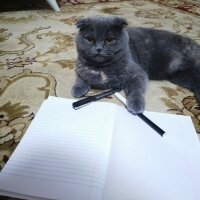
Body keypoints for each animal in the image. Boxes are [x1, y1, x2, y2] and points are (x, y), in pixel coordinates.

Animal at [71, 15, 200, 114]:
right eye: (90, 39)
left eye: (109, 39)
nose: (98, 49)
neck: (102, 68)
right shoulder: (80, 66)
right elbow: (80, 77)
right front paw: (77, 89)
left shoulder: (137, 73)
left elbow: (136, 90)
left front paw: (136, 105)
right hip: (181, 76)